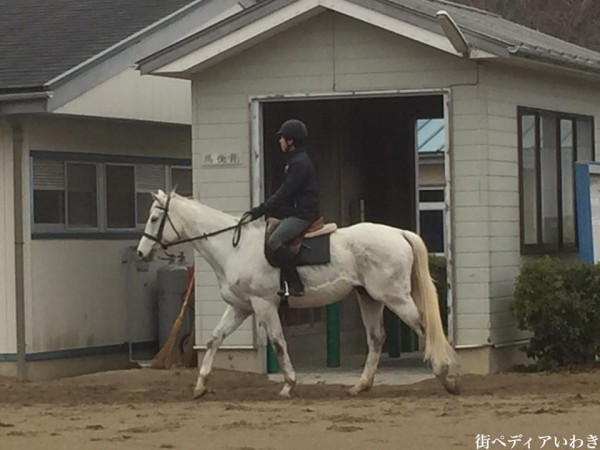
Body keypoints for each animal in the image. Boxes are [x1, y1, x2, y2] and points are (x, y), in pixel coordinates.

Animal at [138, 189, 462, 398]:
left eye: (154, 218)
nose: (142, 253)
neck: (234, 247)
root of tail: (398, 233)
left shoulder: (264, 304)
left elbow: (279, 343)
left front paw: (288, 385)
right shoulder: (242, 307)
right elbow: (214, 339)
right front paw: (200, 386)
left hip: (395, 298)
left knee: (425, 327)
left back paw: (447, 378)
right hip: (369, 297)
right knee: (377, 338)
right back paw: (361, 386)